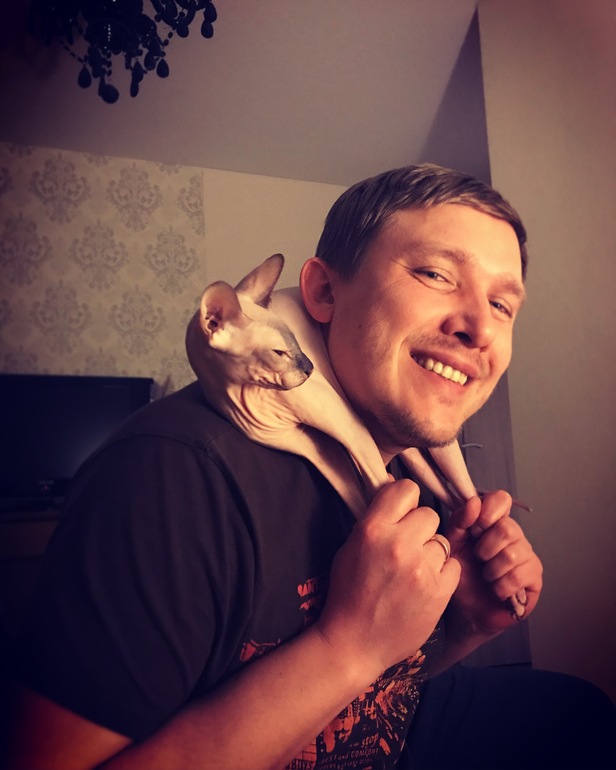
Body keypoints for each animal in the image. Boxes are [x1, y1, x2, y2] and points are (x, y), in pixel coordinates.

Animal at [186, 253, 526, 617]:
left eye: (295, 342)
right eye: (279, 352)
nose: (309, 368)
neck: (244, 395)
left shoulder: (346, 424)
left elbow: (379, 482)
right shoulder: (315, 448)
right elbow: (361, 497)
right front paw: (408, 550)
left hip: (440, 440)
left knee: (467, 494)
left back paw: (510, 586)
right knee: (456, 499)